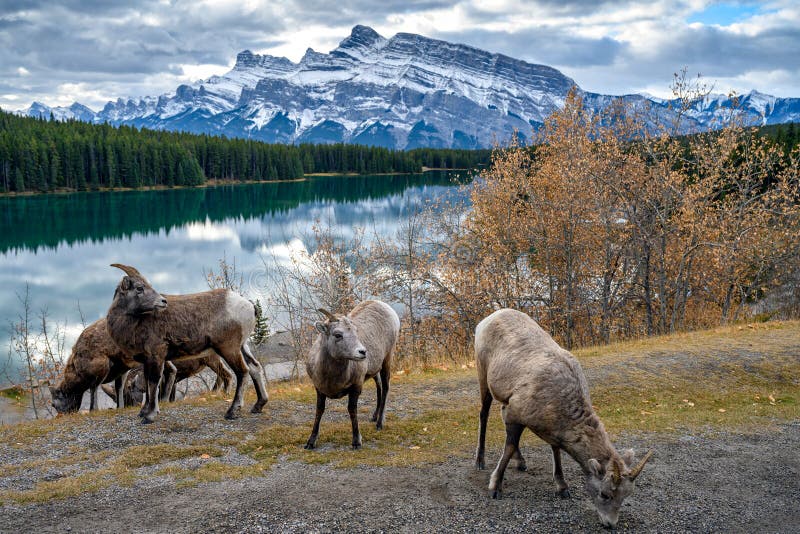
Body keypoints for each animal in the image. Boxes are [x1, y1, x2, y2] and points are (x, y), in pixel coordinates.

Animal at [304, 302, 400, 452]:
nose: (363, 352)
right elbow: (319, 411)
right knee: (379, 387)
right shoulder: (319, 389)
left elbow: (352, 410)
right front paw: (311, 442)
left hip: (387, 359)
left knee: (385, 388)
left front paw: (356, 442)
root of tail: (383, 304)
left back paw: (379, 424)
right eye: (338, 334)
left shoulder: (356, 386)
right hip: (375, 370)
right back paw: (374, 417)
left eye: (355, 332)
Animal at [476, 310, 648, 532]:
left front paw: (562, 488)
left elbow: (554, 451)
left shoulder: (547, 427)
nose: (610, 524)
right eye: (604, 494)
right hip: (483, 376)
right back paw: (480, 462)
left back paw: (521, 463)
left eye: (625, 496)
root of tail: (490, 317)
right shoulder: (515, 413)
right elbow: (509, 447)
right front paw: (495, 488)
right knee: (484, 414)